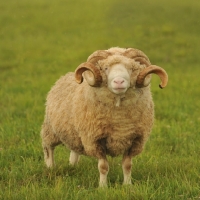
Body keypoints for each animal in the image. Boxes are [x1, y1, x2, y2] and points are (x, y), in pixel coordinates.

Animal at [40, 46, 167, 186]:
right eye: (105, 68)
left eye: (131, 68)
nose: (119, 81)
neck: (119, 120)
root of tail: (64, 76)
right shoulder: (95, 140)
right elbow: (103, 167)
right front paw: (103, 186)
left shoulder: (135, 140)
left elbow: (127, 166)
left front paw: (127, 185)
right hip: (51, 129)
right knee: (48, 147)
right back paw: (50, 167)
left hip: (75, 133)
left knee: (75, 149)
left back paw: (73, 165)